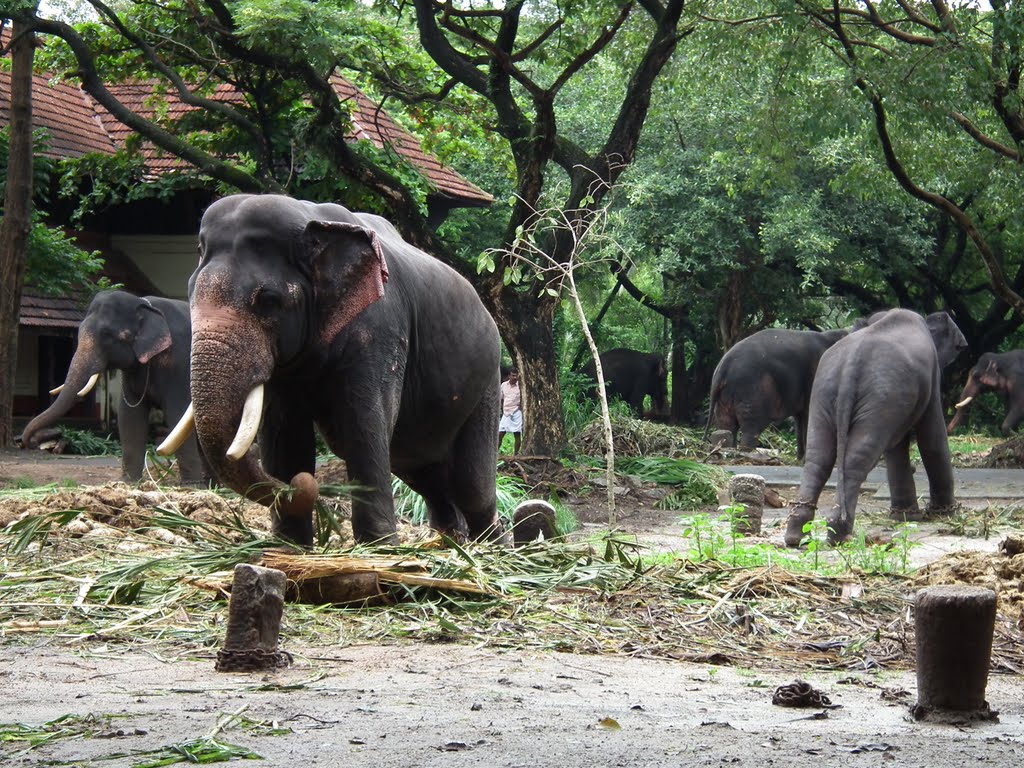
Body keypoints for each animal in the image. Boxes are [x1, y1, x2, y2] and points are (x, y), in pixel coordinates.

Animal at [19, 290, 207, 483]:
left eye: (107, 335)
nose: (30, 442)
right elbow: (129, 415)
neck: (144, 305)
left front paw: (191, 485)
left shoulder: (179, 365)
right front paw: (130, 482)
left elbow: (177, 412)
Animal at [158, 195, 503, 548]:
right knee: (423, 472)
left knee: (471, 485)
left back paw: (491, 546)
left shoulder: (379, 327)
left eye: (268, 301)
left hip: (488, 383)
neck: (312, 221)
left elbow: (363, 420)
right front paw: (290, 546)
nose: (303, 483)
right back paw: (450, 543)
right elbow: (284, 430)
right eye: (190, 293)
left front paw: (378, 547)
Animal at [704, 327, 847, 460]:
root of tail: (722, 367)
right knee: (750, 428)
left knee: (727, 427)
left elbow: (801, 418)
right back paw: (746, 454)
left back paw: (730, 452)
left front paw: (800, 459)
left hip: (726, 397)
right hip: (751, 392)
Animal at [782, 309, 966, 548]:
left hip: (829, 393)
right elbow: (932, 437)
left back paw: (797, 537)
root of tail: (851, 364)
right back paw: (840, 535)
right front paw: (946, 514)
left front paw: (905, 516)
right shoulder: (931, 377)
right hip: (878, 395)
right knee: (856, 460)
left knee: (818, 458)